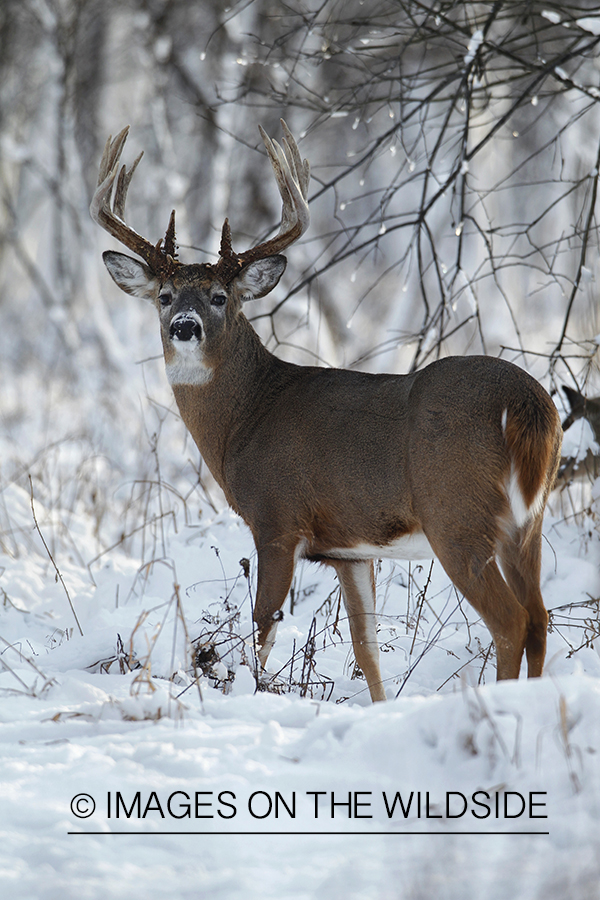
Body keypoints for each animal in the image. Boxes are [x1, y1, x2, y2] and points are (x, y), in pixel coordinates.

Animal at [90, 123, 564, 700]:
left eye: (221, 296)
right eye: (163, 295)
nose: (184, 325)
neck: (246, 419)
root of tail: (528, 405)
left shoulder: (276, 519)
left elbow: (261, 631)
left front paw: (252, 695)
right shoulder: (349, 550)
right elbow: (367, 648)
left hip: (457, 514)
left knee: (512, 622)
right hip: (528, 522)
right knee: (539, 618)